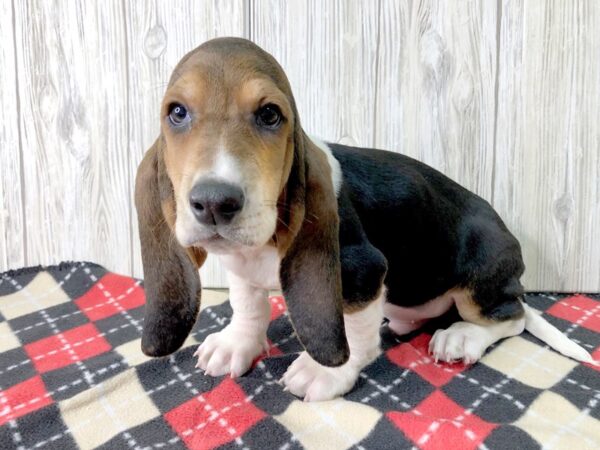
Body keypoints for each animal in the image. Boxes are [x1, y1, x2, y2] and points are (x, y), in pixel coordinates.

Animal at [134, 36, 596, 400]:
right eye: (177, 112)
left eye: (269, 114)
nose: (214, 202)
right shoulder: (242, 269)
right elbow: (248, 306)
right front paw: (236, 344)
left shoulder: (361, 272)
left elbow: (352, 331)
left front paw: (325, 372)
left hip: (481, 276)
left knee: (510, 317)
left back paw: (461, 336)